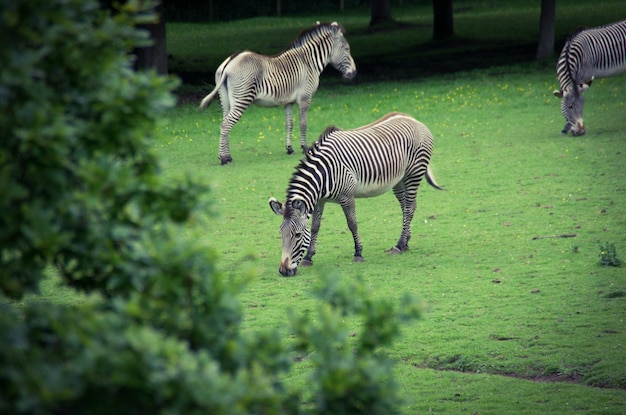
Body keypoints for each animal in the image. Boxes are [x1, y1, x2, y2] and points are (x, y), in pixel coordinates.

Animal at [200, 20, 356, 164]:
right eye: (347, 49)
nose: (354, 74)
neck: (308, 62)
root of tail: (229, 62)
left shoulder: (289, 102)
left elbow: (289, 124)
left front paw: (289, 149)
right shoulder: (305, 98)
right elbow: (303, 123)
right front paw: (305, 148)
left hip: (225, 101)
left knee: (224, 122)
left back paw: (227, 156)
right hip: (242, 98)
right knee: (226, 125)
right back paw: (224, 159)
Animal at [266, 112, 442, 278]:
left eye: (297, 235)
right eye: (281, 233)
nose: (284, 271)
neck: (324, 173)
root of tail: (414, 120)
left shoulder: (347, 197)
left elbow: (352, 224)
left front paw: (358, 253)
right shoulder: (319, 201)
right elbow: (316, 226)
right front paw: (309, 257)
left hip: (414, 173)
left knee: (409, 208)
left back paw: (399, 245)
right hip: (399, 179)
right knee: (406, 207)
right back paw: (405, 242)